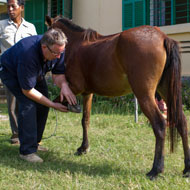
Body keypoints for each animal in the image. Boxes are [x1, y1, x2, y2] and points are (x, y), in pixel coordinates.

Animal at [46, 15, 190, 180]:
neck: (76, 44)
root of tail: (163, 37)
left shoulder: (74, 88)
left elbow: (52, 103)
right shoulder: (87, 93)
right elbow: (85, 120)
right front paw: (83, 148)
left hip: (145, 95)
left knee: (160, 124)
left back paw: (156, 170)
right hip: (166, 91)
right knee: (181, 121)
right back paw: (187, 168)